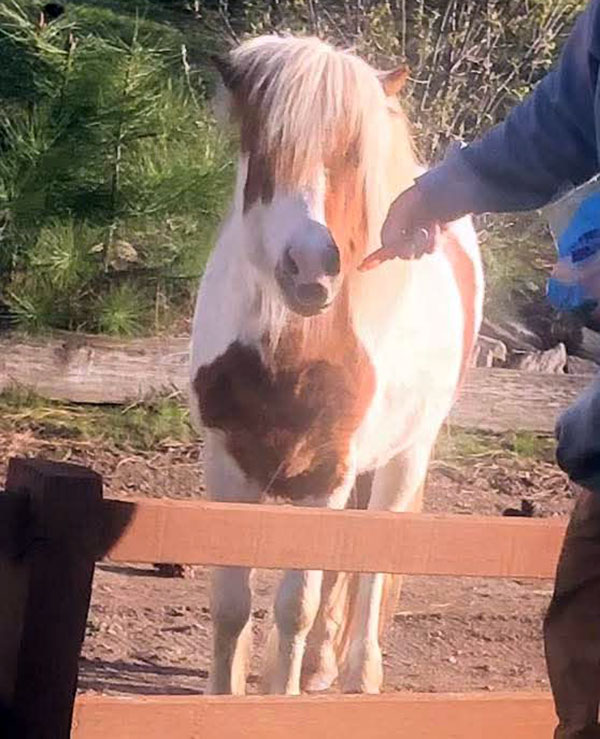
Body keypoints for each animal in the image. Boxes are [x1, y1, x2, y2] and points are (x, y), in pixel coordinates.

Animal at [190, 35, 484, 696]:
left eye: (352, 154)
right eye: (264, 145)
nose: (311, 269)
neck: (291, 353)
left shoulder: (326, 476)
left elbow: (294, 605)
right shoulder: (226, 467)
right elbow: (230, 607)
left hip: (404, 457)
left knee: (371, 564)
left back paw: (358, 671)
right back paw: (324, 664)